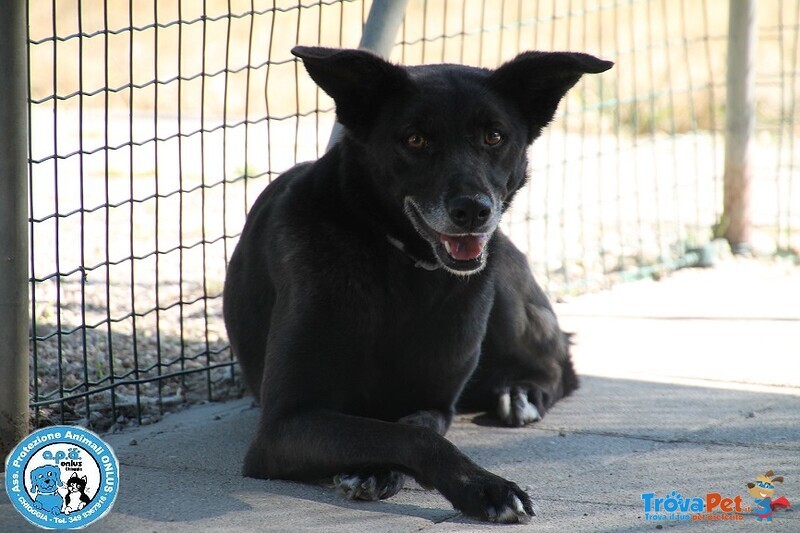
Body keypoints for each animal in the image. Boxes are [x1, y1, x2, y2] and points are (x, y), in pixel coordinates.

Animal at [225, 44, 612, 520]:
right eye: (414, 139)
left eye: (494, 136)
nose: (472, 210)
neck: (399, 263)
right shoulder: (283, 423)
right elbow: (402, 434)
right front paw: (481, 486)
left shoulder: (434, 403)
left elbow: (416, 427)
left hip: (502, 280)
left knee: (560, 365)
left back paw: (521, 393)